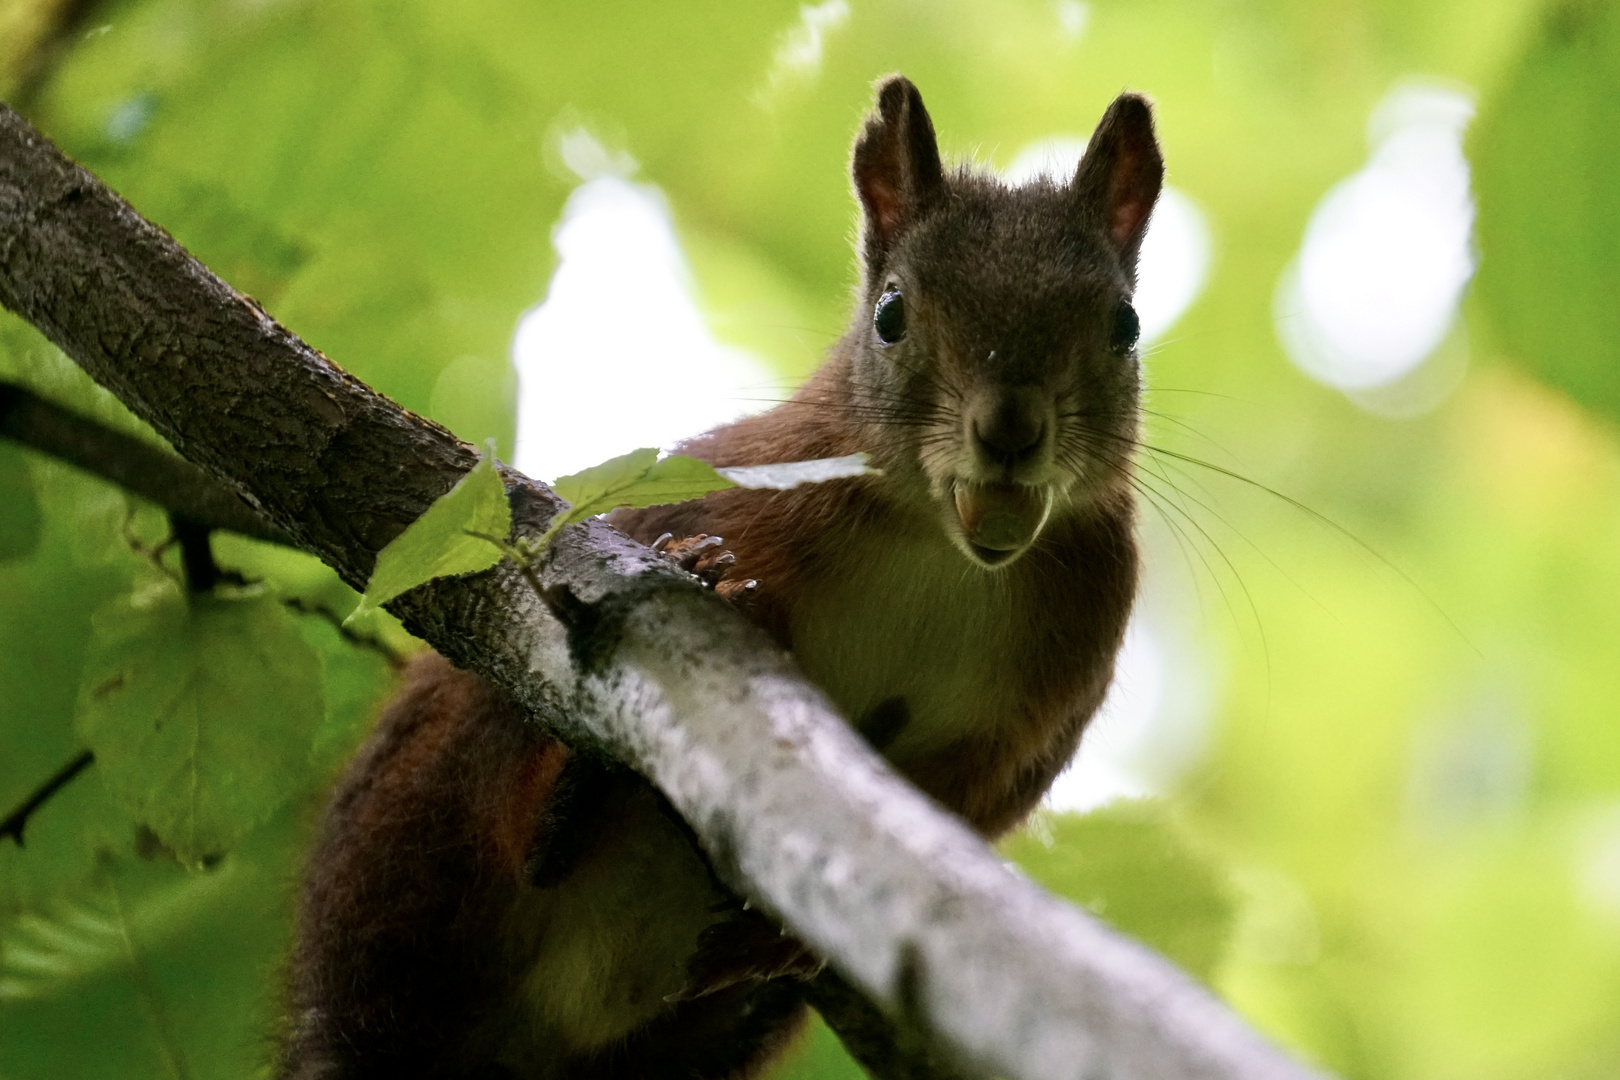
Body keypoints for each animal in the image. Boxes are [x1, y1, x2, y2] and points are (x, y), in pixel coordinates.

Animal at [281, 78, 1166, 1080]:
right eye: (891, 314)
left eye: (1126, 325)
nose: (1011, 430)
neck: (939, 548)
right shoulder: (718, 492)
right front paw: (711, 576)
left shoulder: (1043, 698)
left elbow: (973, 797)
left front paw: (780, 940)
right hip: (422, 809)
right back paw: (572, 794)